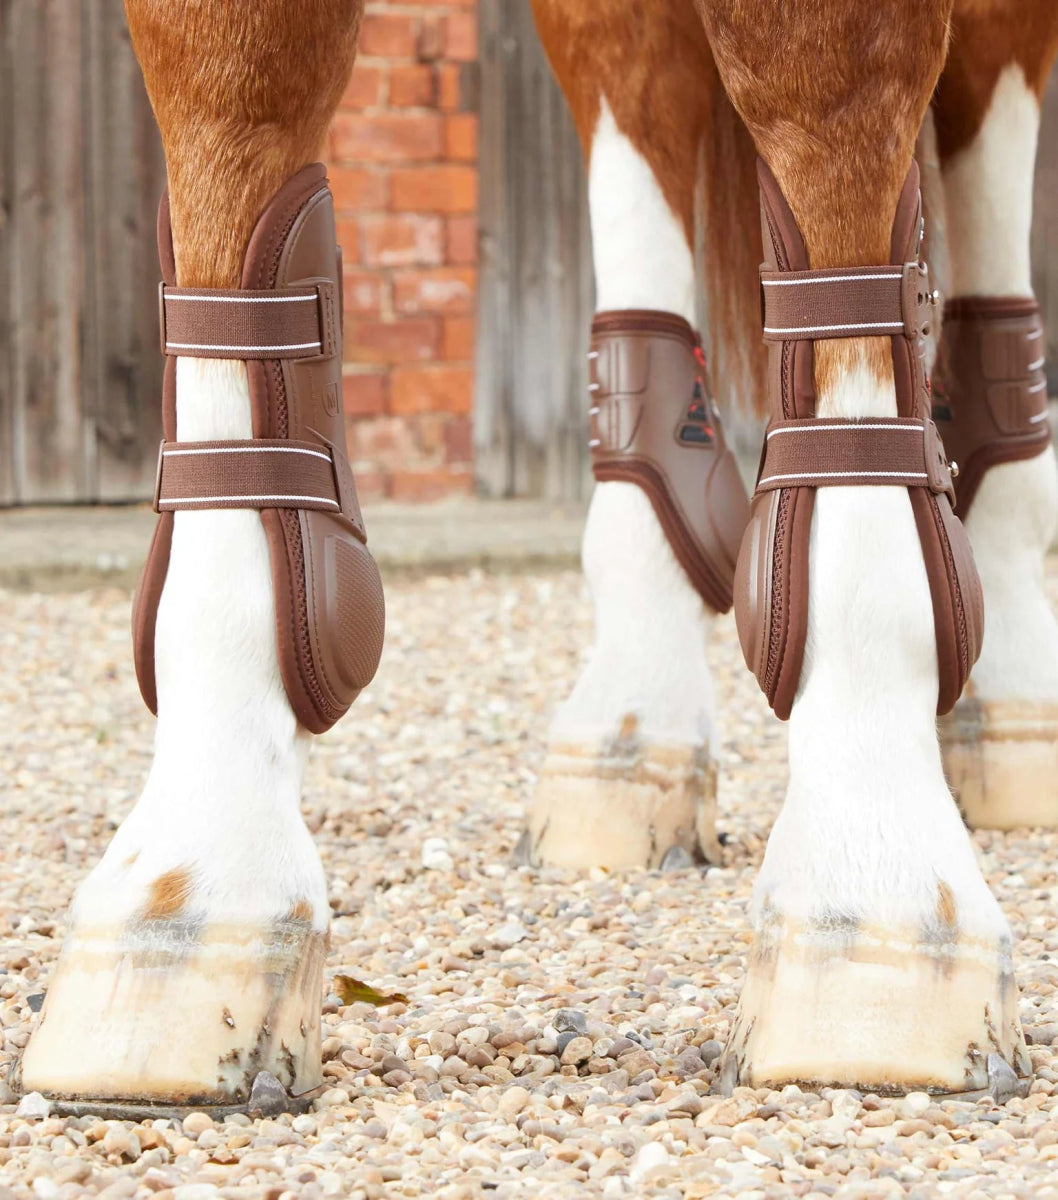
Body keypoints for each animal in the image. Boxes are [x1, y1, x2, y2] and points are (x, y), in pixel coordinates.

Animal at [14, 0, 1058, 1110]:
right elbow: (231, 125)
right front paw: (184, 901)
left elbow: (826, 126)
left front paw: (871, 900)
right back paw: (628, 729)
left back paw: (1011, 692)